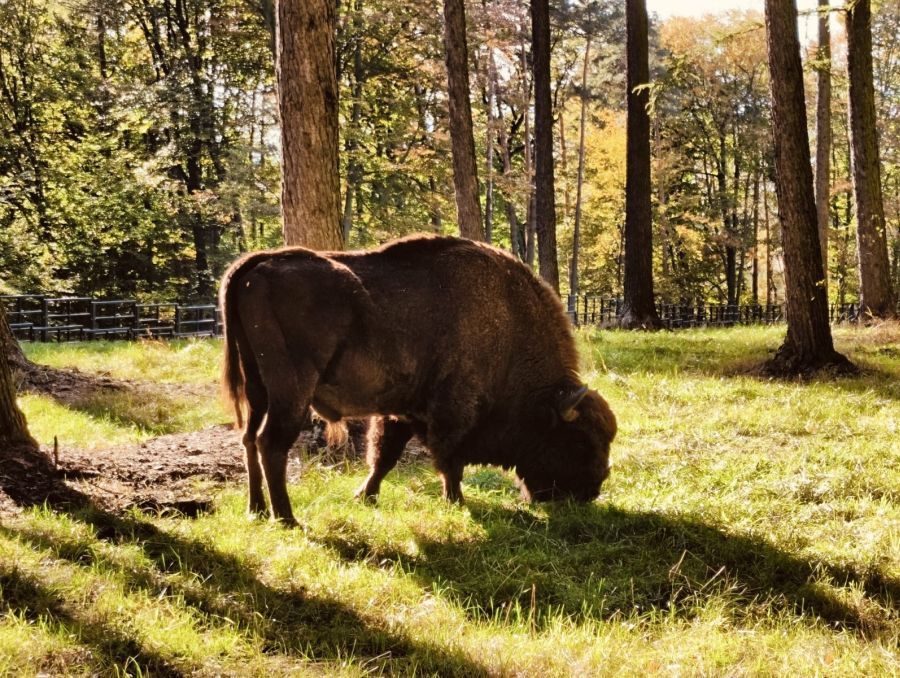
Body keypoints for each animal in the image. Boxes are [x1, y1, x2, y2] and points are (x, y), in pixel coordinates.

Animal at [223, 234, 620, 524]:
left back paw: (256, 510)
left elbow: (384, 457)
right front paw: (457, 502)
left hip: (257, 389)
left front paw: (365, 497)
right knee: (271, 443)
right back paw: (287, 519)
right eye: (580, 441)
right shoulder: (452, 412)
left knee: (248, 439)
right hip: (291, 391)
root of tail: (257, 266)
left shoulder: (400, 412)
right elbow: (449, 460)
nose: (592, 490)